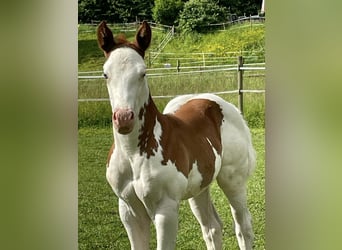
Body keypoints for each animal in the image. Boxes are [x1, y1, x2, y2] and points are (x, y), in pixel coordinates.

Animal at [97, 20, 255, 249]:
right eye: (105, 74)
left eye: (143, 73)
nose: (124, 118)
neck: (133, 153)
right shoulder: (128, 209)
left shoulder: (166, 209)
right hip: (200, 187)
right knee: (212, 228)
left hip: (233, 180)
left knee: (243, 227)